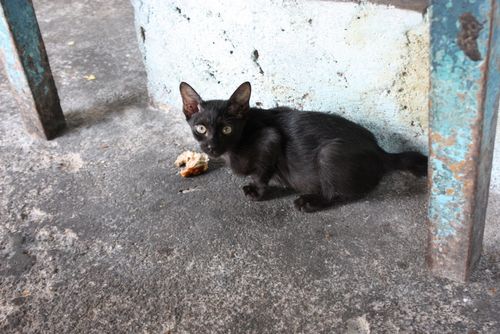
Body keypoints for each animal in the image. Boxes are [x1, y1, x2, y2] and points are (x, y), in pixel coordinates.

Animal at [180, 81, 426, 211]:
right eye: (201, 128)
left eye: (227, 129)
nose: (212, 147)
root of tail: (381, 151)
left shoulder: (270, 138)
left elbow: (262, 172)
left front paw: (257, 192)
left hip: (329, 153)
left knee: (340, 193)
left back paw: (309, 201)